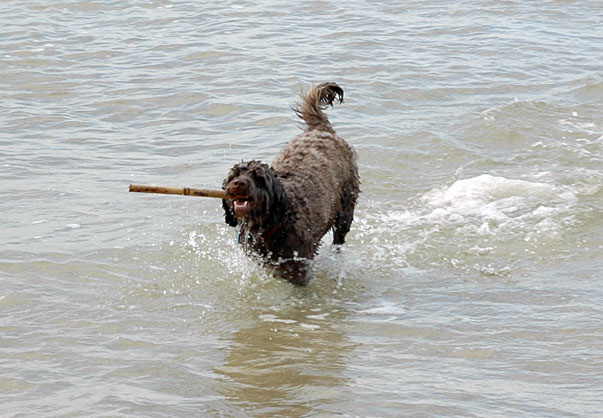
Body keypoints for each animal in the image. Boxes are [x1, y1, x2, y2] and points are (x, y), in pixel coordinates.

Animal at [224, 81, 360, 284]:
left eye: (258, 178)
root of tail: (321, 130)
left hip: (346, 207)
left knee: (340, 235)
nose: (238, 184)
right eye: (234, 176)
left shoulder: (298, 263)